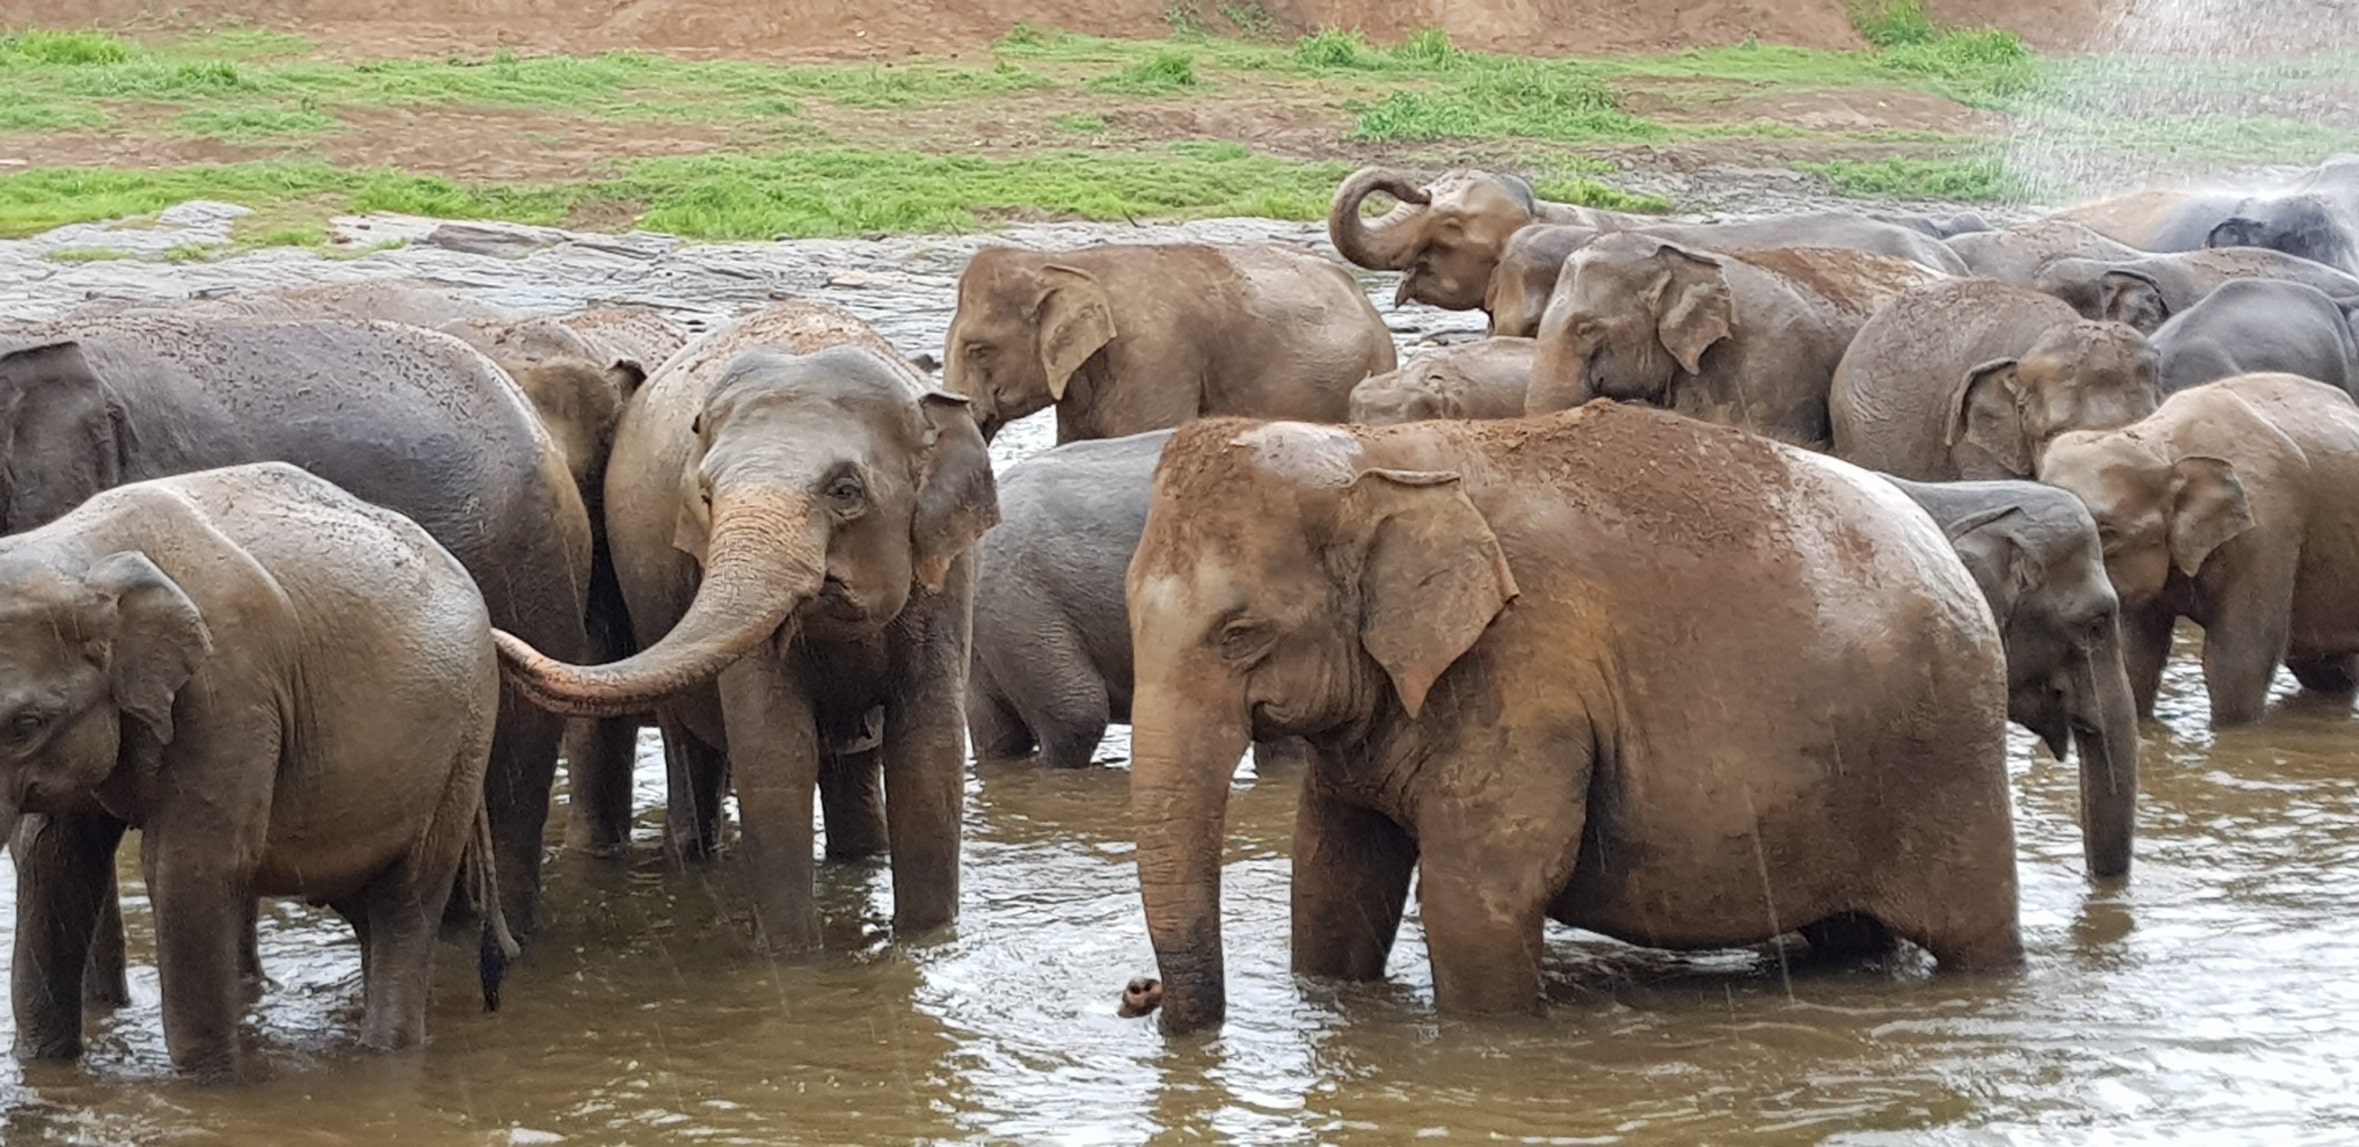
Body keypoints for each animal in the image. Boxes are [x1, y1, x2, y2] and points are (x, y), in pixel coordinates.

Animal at [0, 462, 514, 1081]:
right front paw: (44, 1068)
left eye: (26, 725)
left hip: (463, 746)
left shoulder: (231, 693)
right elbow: (53, 860)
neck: (84, 551)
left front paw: (208, 1087)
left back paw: (383, 1052)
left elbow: (186, 868)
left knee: (408, 901)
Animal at [491, 300, 999, 958]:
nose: (497, 640)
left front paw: (925, 945)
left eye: (846, 491)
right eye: (706, 495)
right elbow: (773, 748)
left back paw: (857, 858)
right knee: (694, 744)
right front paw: (793, 961)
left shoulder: (947, 578)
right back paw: (695, 858)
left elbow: (928, 749)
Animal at [1118, 403, 2022, 1033]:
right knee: (1850, 936)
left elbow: (1479, 897)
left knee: (1975, 934)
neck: (1376, 451)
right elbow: (1332, 877)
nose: (1139, 992)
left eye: (1239, 632)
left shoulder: (1522, 677)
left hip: (1949, 763)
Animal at [2038, 372, 2359, 726]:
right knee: (2327, 670)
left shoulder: (2267, 531)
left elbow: (2238, 662)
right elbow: (2135, 656)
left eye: (2106, 533)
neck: (2161, 445)